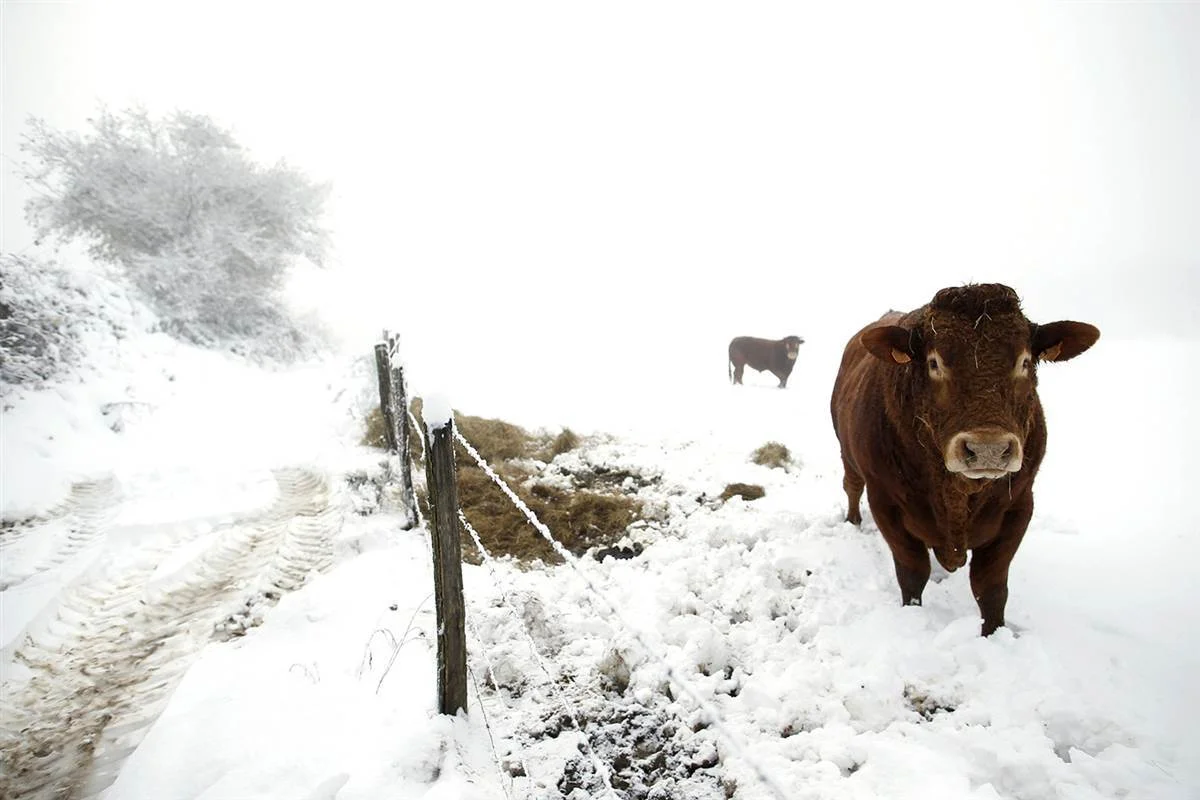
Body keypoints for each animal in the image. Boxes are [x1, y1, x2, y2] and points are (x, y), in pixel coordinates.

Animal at [835, 284, 1099, 633]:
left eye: (1025, 361)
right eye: (934, 362)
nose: (988, 448)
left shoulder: (1019, 506)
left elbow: (990, 585)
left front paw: (994, 633)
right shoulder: (886, 502)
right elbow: (912, 571)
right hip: (847, 456)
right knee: (851, 486)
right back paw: (852, 521)